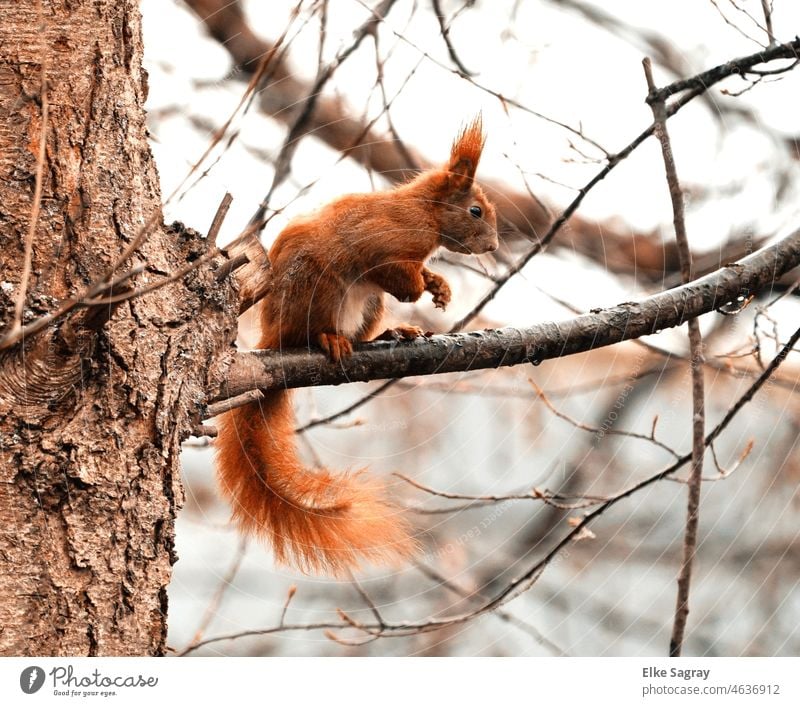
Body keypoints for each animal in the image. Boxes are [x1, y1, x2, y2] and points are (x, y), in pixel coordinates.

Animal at [216, 118, 496, 572]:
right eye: (475, 211)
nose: (493, 247)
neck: (425, 213)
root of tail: (272, 338)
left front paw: (439, 286)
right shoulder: (382, 245)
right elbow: (398, 275)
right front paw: (421, 287)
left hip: (368, 307)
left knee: (361, 332)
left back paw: (393, 334)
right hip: (318, 287)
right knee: (309, 333)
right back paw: (328, 338)